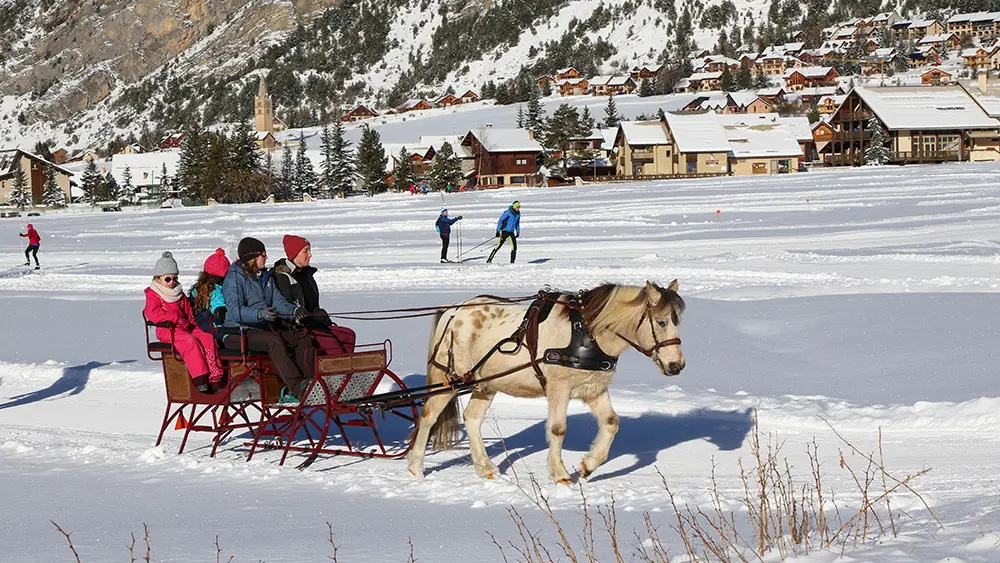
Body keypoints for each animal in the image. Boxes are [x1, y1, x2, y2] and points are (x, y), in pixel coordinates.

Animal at [408, 282, 688, 484]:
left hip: (485, 384)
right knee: (429, 416)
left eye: (677, 322)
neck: (587, 333)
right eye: (661, 322)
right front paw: (561, 474)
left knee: (472, 418)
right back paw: (416, 467)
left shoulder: (594, 389)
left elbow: (611, 423)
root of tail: (454, 311)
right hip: (450, 379)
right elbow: (557, 429)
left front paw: (588, 466)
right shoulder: (558, 388)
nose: (677, 365)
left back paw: (485, 467)